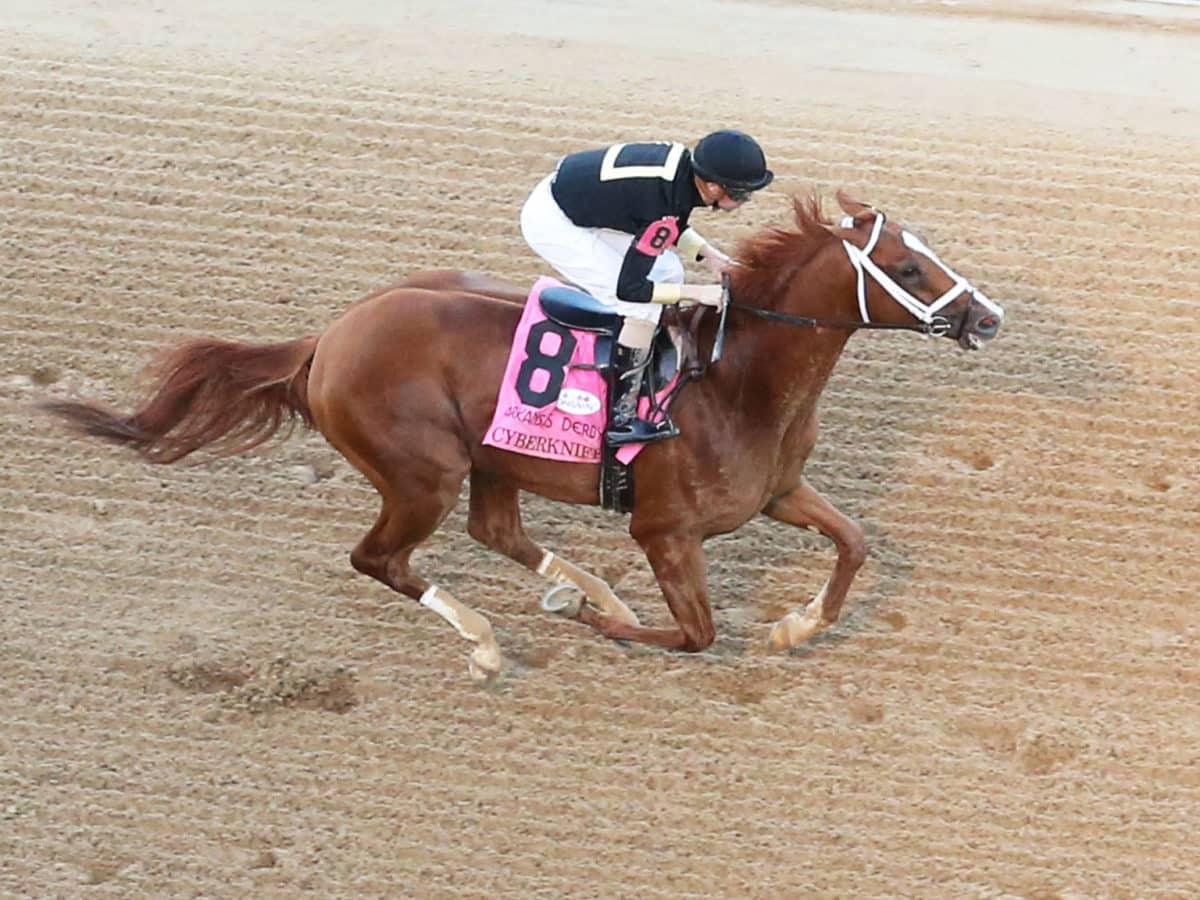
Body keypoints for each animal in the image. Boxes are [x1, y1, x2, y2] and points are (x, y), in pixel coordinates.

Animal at [39, 192, 1003, 681]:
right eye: (909, 267)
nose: (988, 318)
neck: (738, 379)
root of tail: (329, 338)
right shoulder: (665, 530)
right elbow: (697, 634)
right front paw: (597, 624)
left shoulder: (779, 493)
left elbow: (855, 543)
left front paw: (795, 629)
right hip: (421, 472)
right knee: (380, 558)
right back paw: (491, 640)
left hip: (490, 459)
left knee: (494, 531)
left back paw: (582, 593)